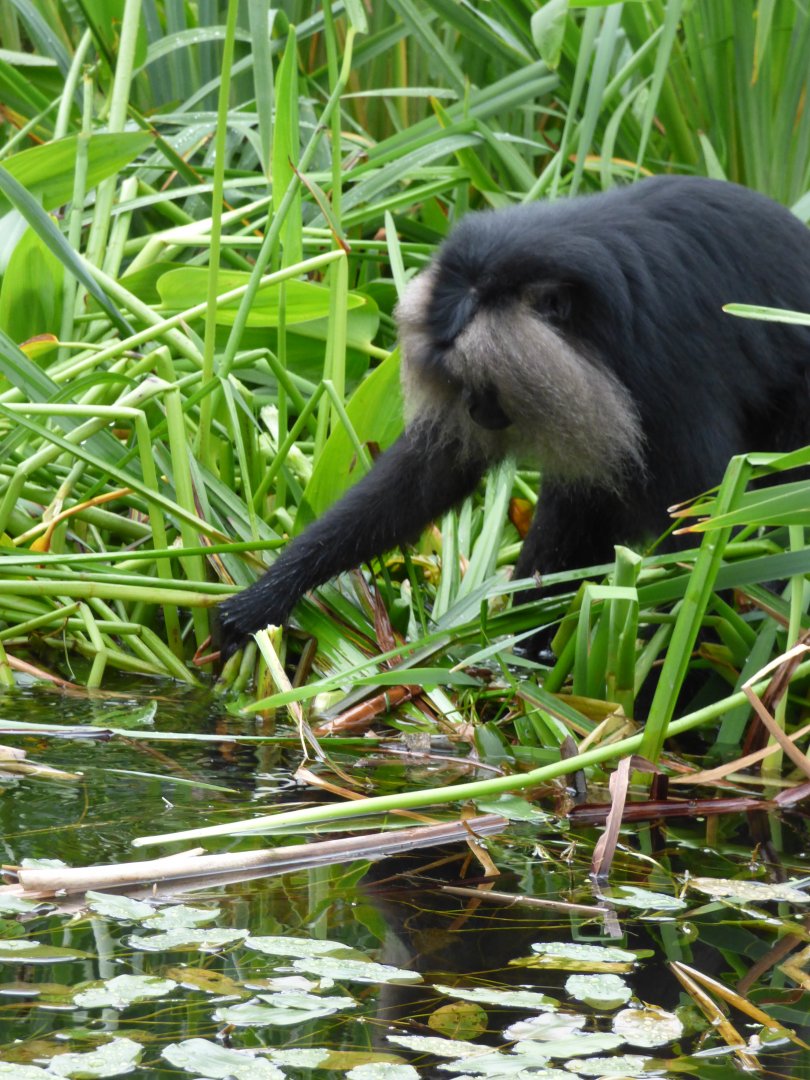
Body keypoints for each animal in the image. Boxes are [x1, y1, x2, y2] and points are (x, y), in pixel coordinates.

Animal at [216, 175, 810, 660]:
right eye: (463, 388)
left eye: (486, 386)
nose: (477, 411)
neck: (597, 327)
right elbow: (429, 478)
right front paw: (272, 592)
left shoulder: (667, 370)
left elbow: (704, 526)